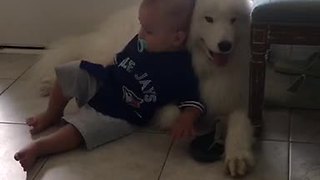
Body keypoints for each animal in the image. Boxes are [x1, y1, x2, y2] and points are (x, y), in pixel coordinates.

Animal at [36, 0, 254, 177]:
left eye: (234, 20)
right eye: (209, 19)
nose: (225, 45)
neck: (207, 66)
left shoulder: (240, 96)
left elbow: (239, 123)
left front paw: (237, 155)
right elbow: (173, 114)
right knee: (82, 56)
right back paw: (48, 85)